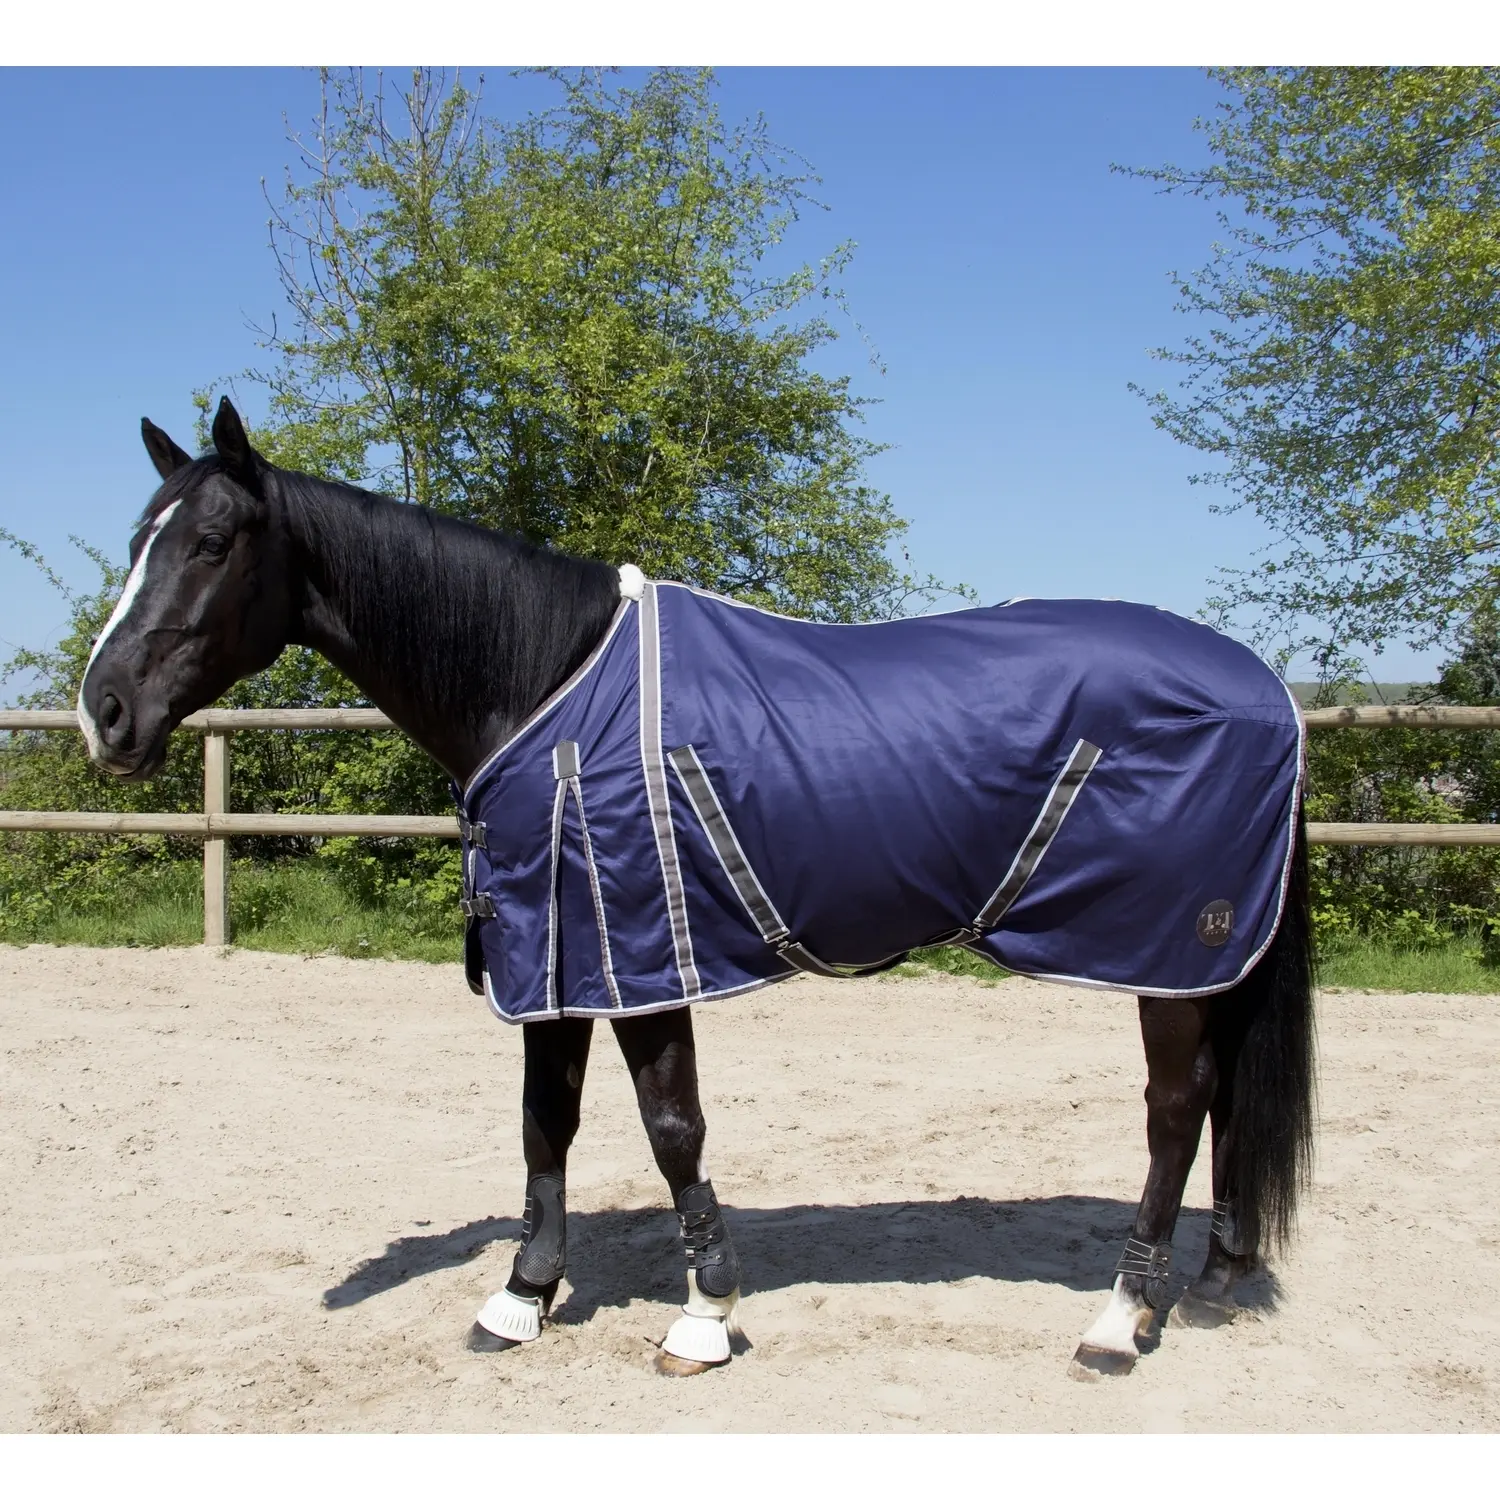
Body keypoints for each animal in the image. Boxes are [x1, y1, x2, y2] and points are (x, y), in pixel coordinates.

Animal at [78, 397, 1316, 1380]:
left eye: (214, 541)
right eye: (139, 540)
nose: (105, 712)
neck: (544, 684)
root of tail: (1265, 686)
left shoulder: (639, 956)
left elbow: (672, 1127)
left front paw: (704, 1316)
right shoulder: (556, 954)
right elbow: (545, 1124)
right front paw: (521, 1297)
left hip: (1168, 951)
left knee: (1173, 1112)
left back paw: (1118, 1321)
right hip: (1211, 962)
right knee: (1218, 1102)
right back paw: (1212, 1280)